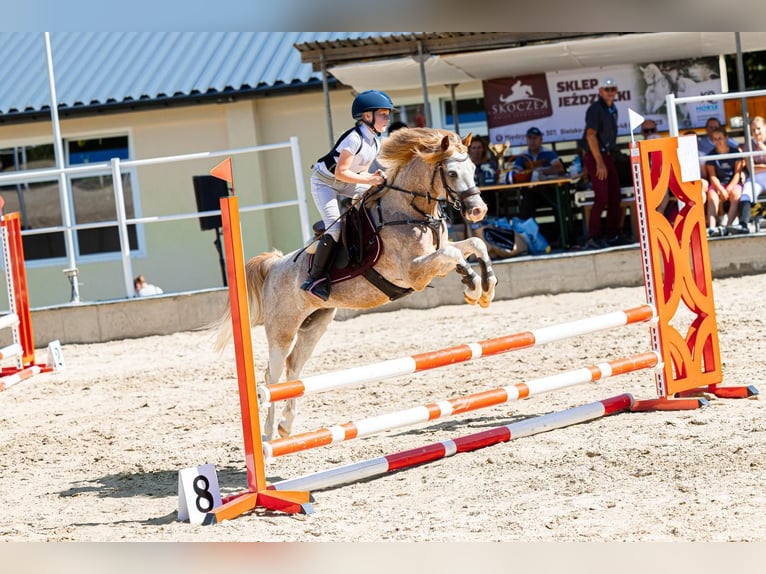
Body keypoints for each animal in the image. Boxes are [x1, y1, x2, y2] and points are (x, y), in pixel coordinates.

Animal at [216, 127, 498, 440]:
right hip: (282, 330)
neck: (410, 210)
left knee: (294, 368)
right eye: (451, 173)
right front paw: (472, 286)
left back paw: (286, 427)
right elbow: (454, 254)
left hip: (316, 324)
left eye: (473, 168)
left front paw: (486, 287)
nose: (478, 210)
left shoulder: (434, 256)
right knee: (272, 377)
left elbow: (472, 245)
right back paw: (267, 435)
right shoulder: (413, 273)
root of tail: (275, 265)